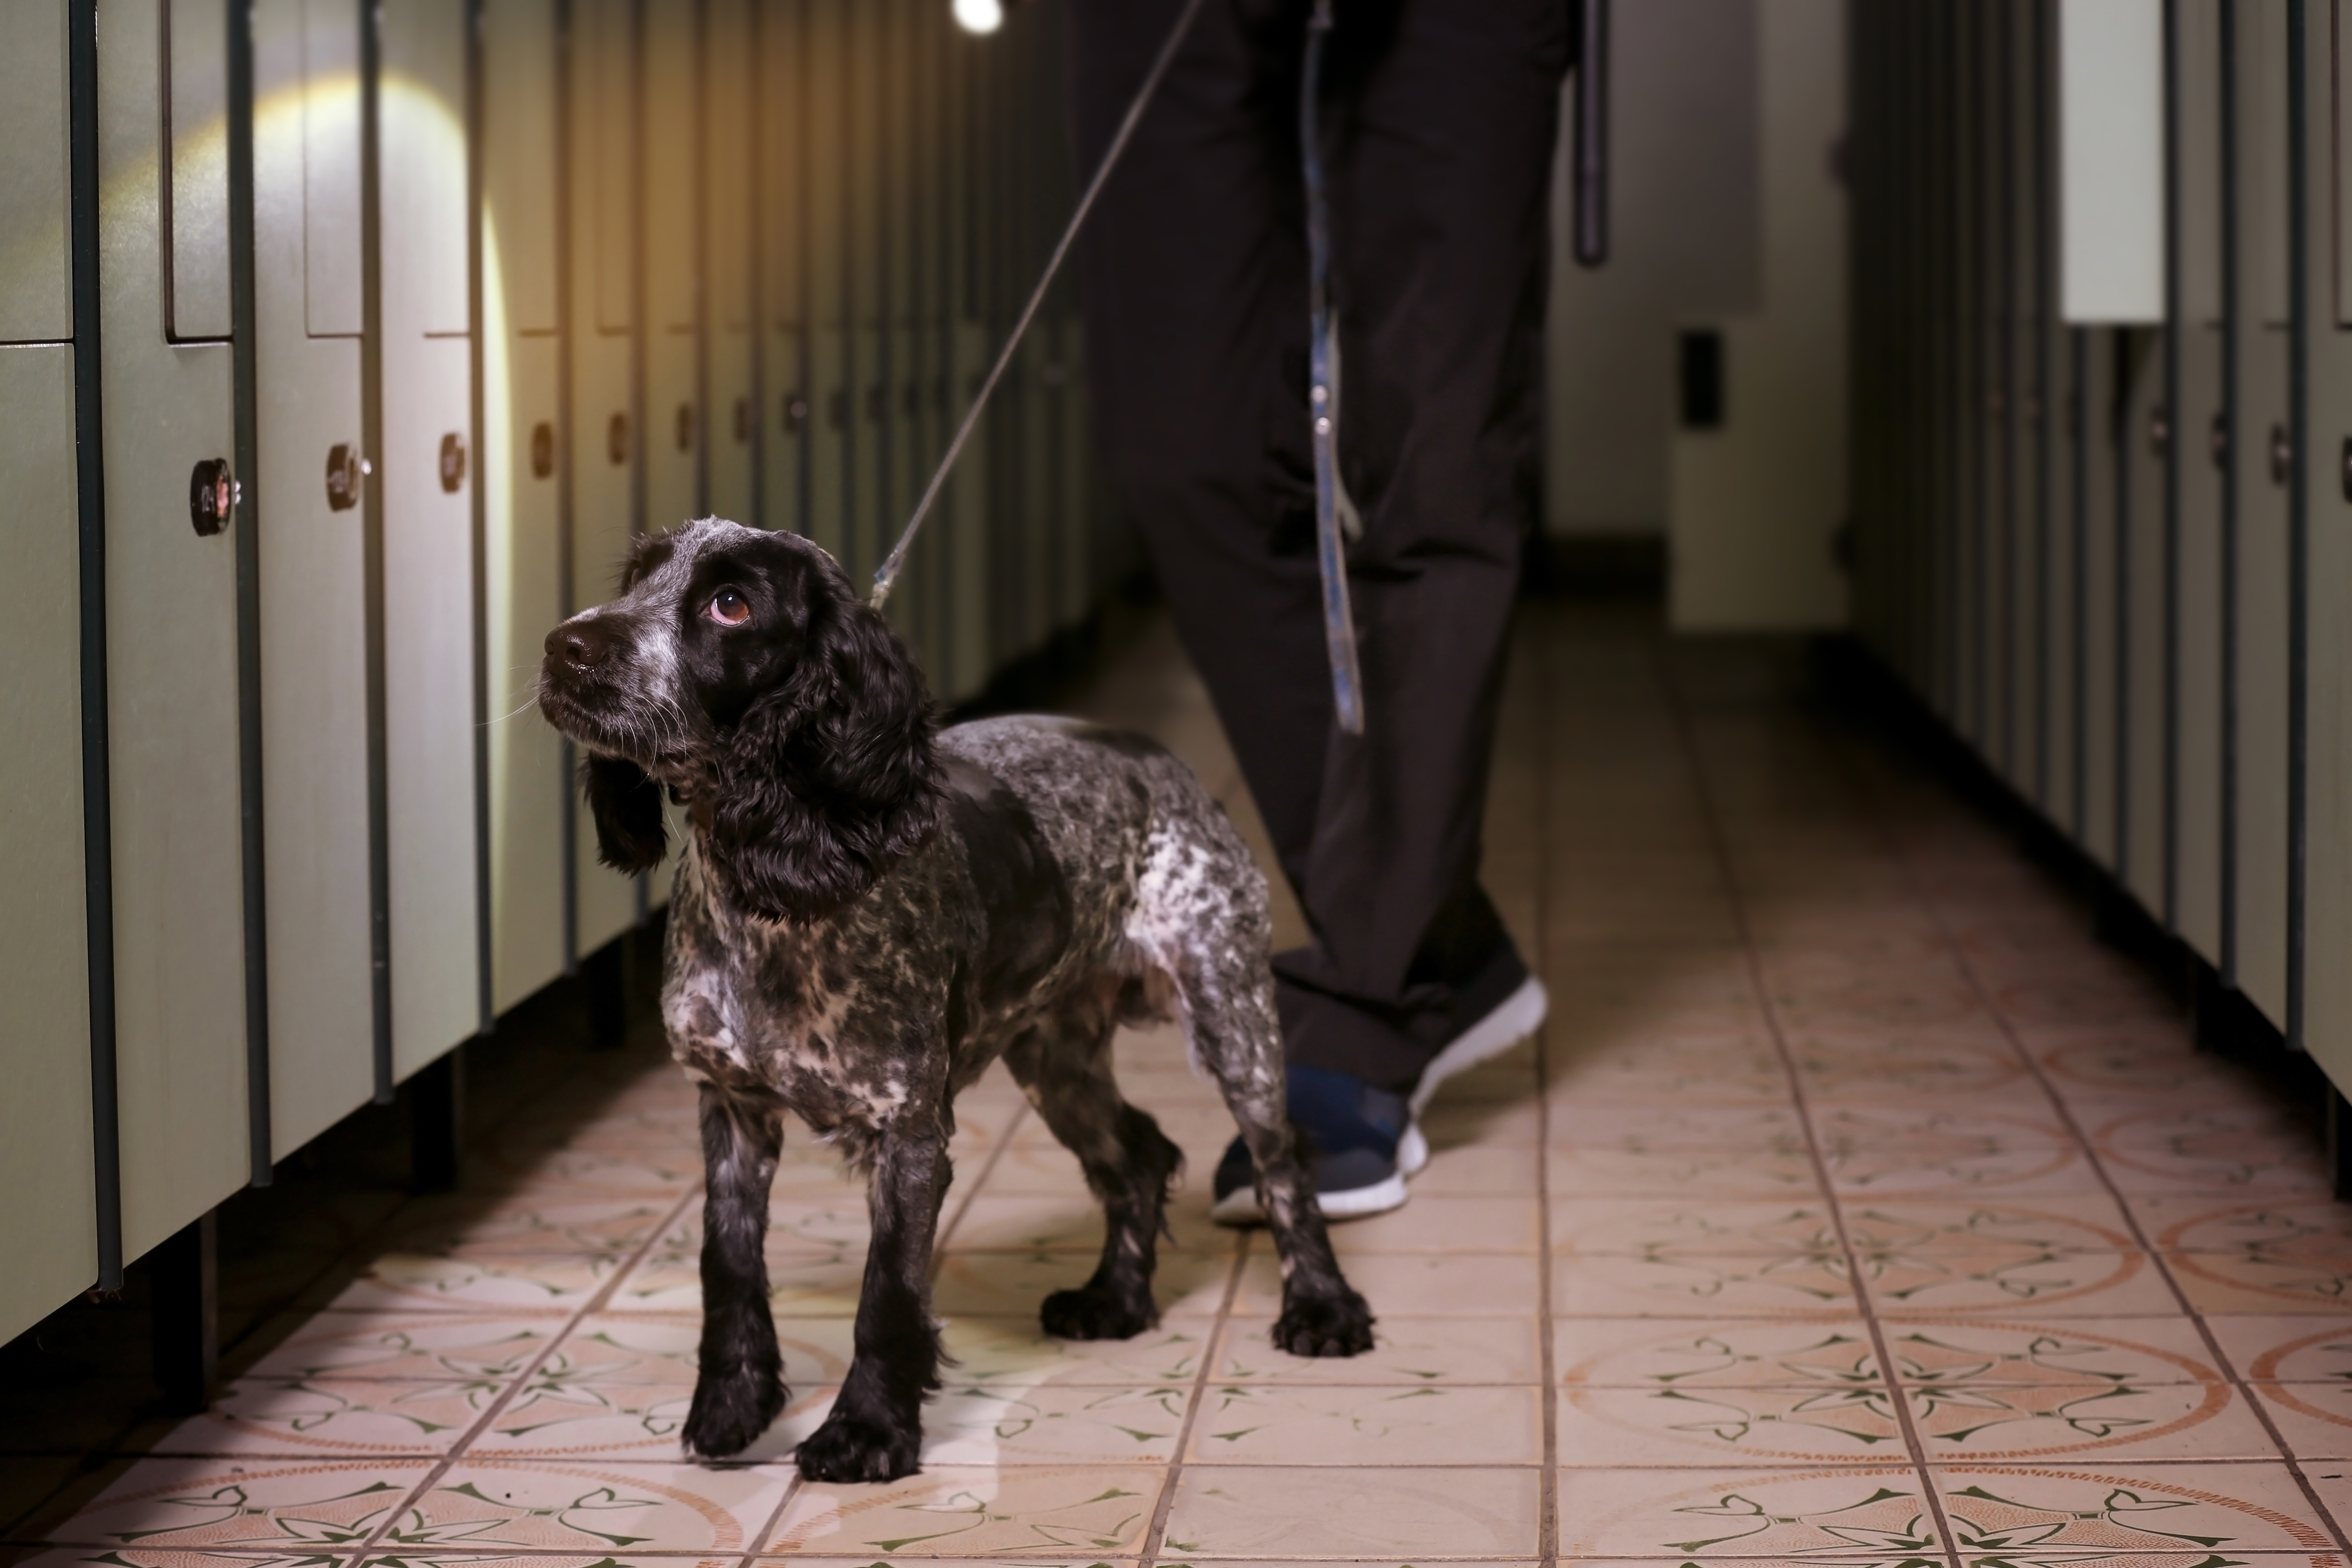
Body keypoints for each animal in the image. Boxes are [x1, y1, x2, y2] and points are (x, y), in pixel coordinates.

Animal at [539, 517, 1373, 1486]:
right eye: (637, 577)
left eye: (731, 604)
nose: (564, 647)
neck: (773, 901)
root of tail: (1156, 755)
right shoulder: (732, 1110)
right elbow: (729, 1267)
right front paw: (732, 1407)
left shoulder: (909, 1134)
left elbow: (887, 1297)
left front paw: (866, 1433)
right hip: (1054, 1056)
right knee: (1137, 1158)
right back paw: (1115, 1300)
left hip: (1231, 1013)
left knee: (1283, 1166)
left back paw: (1322, 1308)